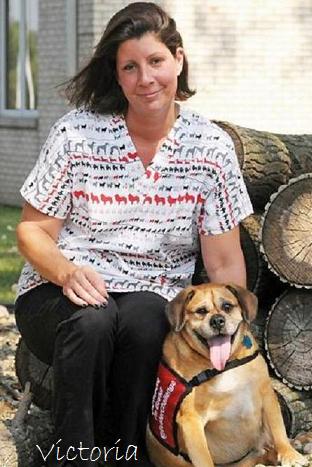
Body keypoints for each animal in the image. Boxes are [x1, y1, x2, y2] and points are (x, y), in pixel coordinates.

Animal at [147, 284, 308, 466]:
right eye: (201, 311)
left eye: (227, 306)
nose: (217, 320)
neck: (224, 365)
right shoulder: (191, 419)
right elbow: (204, 458)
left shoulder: (266, 395)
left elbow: (278, 428)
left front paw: (289, 454)